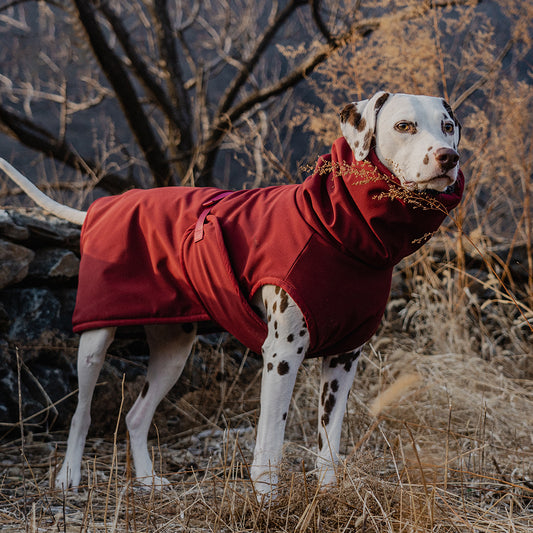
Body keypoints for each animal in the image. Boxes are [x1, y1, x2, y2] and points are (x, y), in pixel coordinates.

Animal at [0, 90, 462, 494]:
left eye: (448, 126)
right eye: (404, 125)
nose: (449, 156)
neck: (342, 232)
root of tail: (103, 206)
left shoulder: (344, 361)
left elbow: (328, 443)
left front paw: (331, 494)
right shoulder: (281, 355)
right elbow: (270, 446)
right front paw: (268, 502)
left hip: (173, 352)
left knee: (135, 416)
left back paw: (147, 480)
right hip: (95, 339)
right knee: (80, 414)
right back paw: (68, 475)